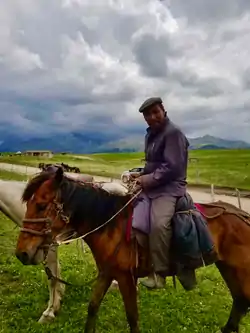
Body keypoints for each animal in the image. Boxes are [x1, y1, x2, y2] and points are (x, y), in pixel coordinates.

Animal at [15, 169, 250, 332]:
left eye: (42, 206)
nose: (21, 253)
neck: (110, 225)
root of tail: (244, 217)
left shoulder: (126, 277)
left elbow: (132, 318)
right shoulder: (107, 273)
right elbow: (92, 307)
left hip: (240, 271)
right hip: (228, 268)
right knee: (240, 302)